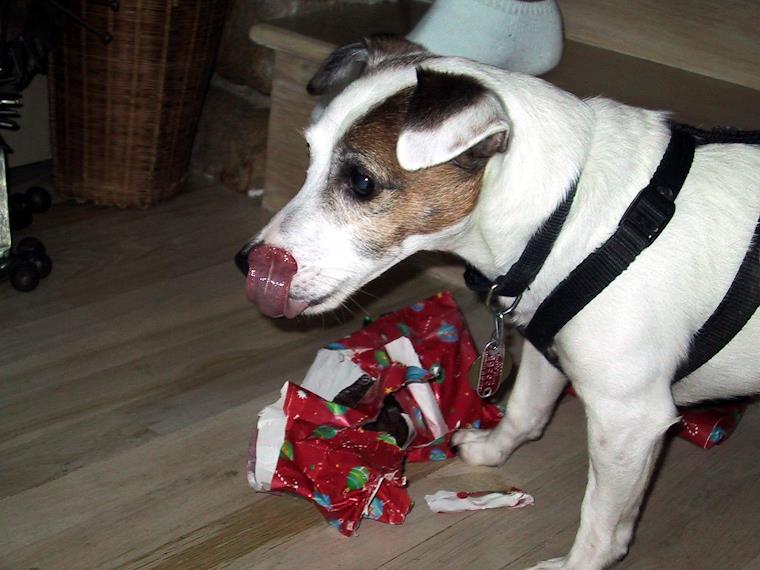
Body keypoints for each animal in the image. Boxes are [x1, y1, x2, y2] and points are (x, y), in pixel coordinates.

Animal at [236, 36, 760, 569]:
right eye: (309, 155)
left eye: (361, 182)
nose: (247, 262)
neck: (566, 214)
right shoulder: (548, 351)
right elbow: (526, 412)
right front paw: (491, 451)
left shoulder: (628, 419)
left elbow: (602, 526)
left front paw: (577, 565)